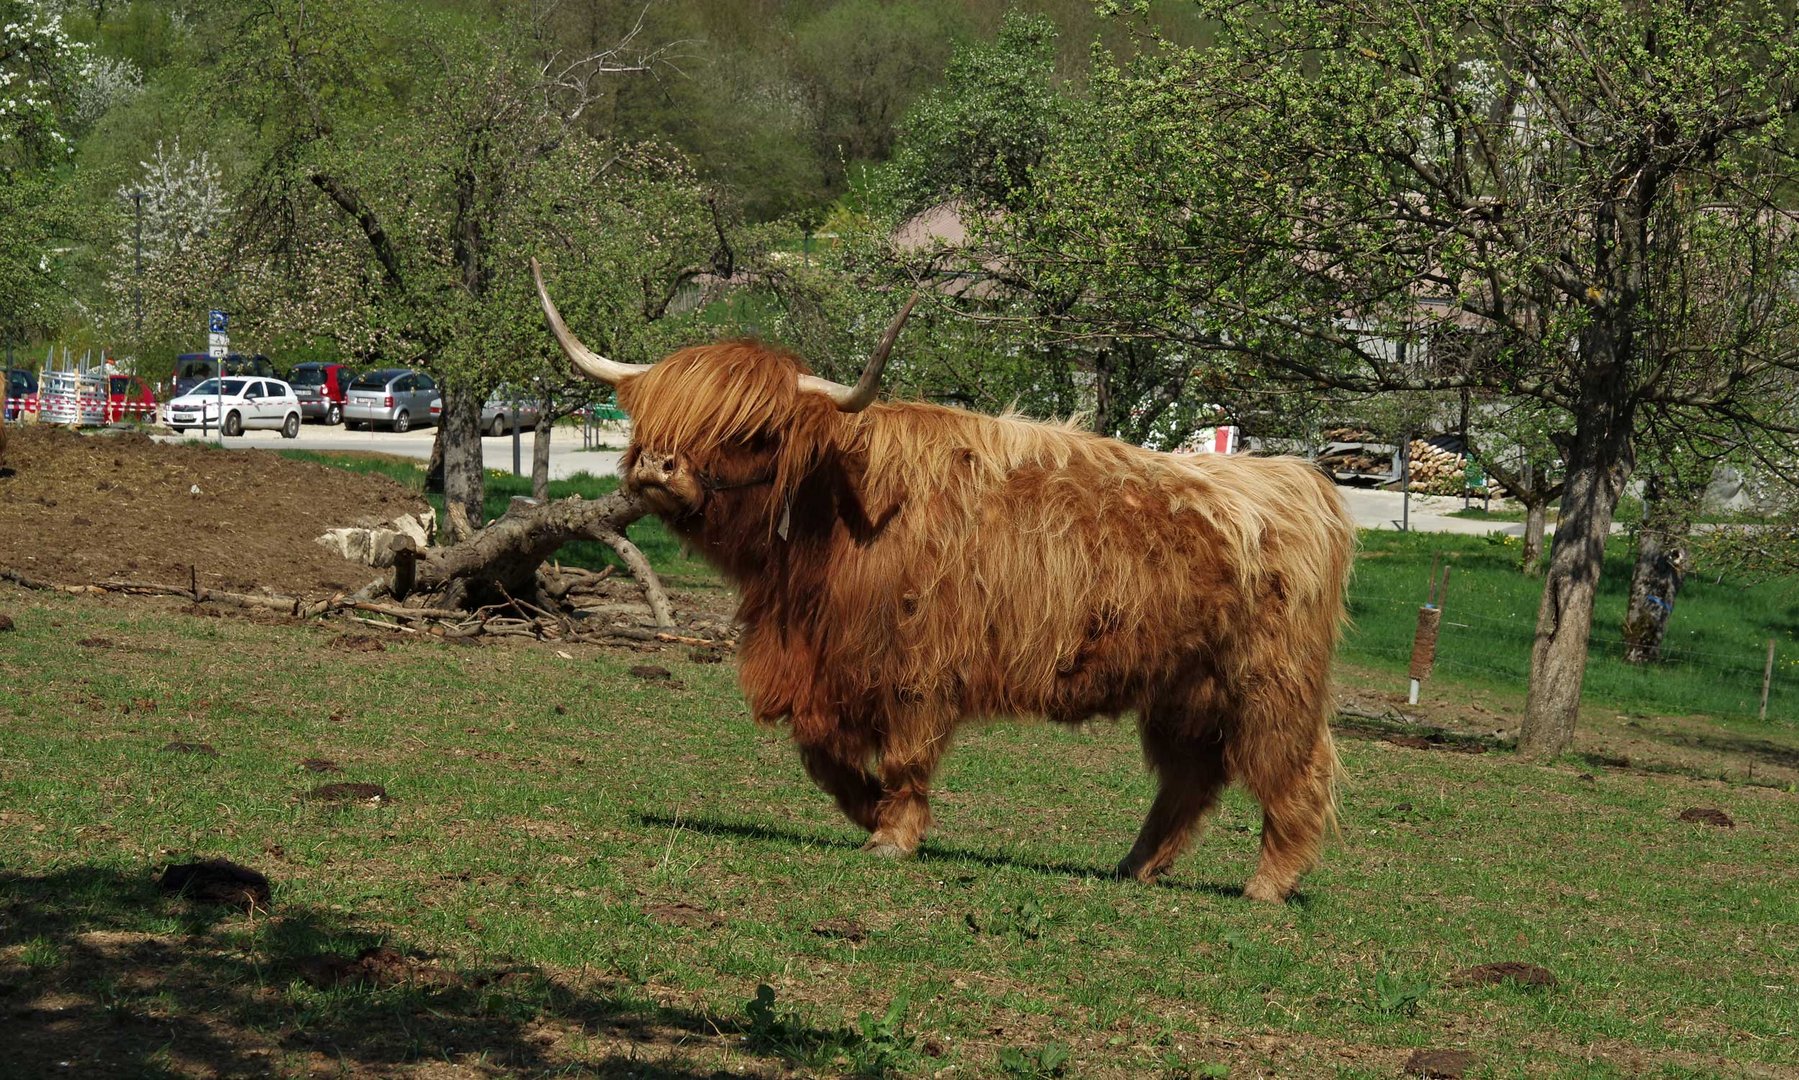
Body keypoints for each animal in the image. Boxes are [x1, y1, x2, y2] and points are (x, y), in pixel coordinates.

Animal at [528, 261, 1352, 903]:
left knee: (1291, 769)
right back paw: (1135, 866)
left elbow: (903, 755)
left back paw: (1268, 883)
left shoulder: (917, 666)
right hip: (1183, 687)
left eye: (750, 432)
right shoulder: (825, 666)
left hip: (1269, 682)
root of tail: (1298, 479)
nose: (657, 466)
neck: (831, 521)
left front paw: (893, 834)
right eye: (662, 415)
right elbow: (819, 754)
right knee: (1189, 779)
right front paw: (867, 812)